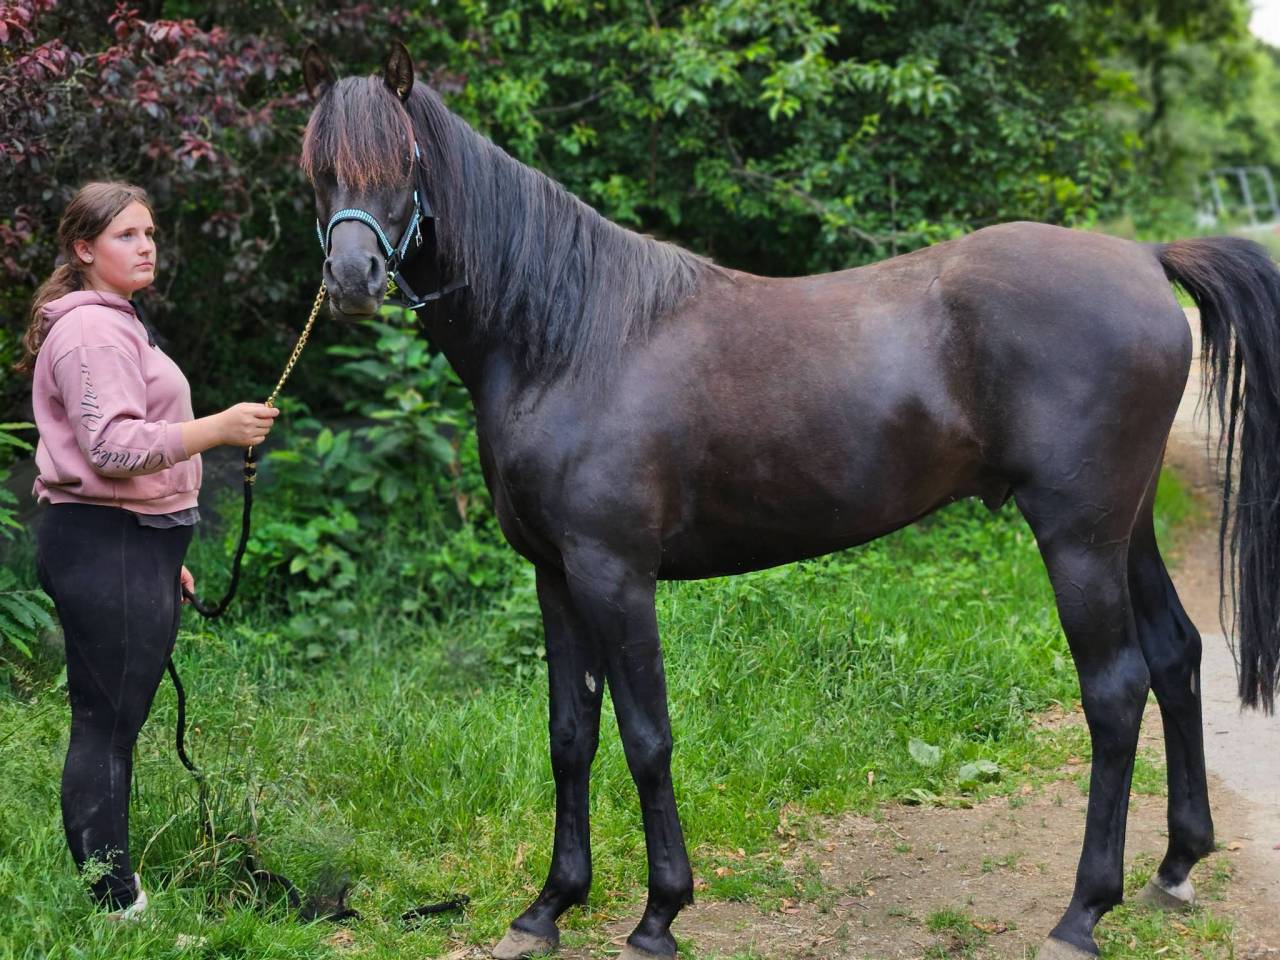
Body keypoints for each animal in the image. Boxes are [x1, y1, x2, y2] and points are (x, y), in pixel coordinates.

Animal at [298, 41, 1280, 960]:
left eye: (406, 159)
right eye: (317, 166)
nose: (351, 280)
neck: (569, 340)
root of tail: (1145, 257)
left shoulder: (616, 575)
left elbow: (646, 737)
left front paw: (659, 913)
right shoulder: (555, 577)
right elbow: (570, 735)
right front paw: (547, 908)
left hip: (1076, 537)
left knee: (1114, 692)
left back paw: (1081, 913)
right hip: (1125, 528)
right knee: (1176, 654)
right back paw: (1175, 867)